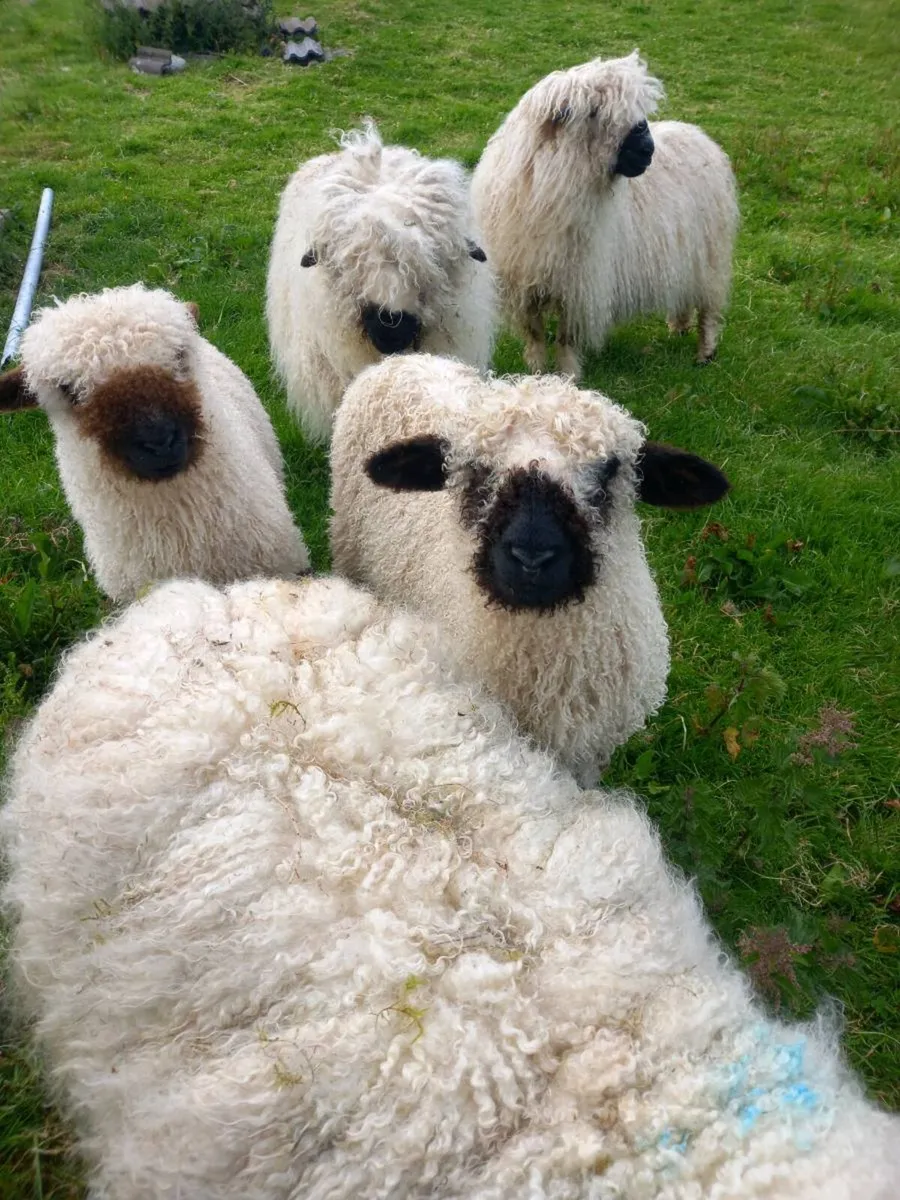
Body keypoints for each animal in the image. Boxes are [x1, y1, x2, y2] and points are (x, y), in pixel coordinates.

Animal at [470, 50, 740, 376]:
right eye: (595, 112)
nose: (648, 151)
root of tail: (698, 134)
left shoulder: (579, 288)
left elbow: (566, 339)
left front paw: (568, 376)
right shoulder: (525, 285)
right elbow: (535, 335)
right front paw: (536, 372)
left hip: (709, 258)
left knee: (709, 309)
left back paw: (705, 351)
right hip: (685, 254)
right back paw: (679, 327)